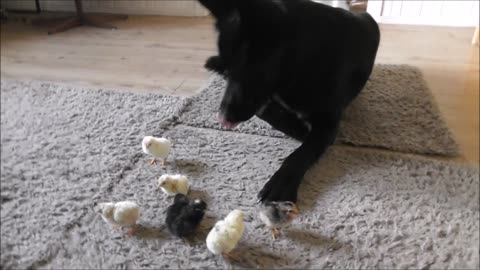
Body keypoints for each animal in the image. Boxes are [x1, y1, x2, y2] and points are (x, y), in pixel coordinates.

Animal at [198, 0, 378, 202]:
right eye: (230, 73)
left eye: (252, 72)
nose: (222, 119)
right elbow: (267, 111)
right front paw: (297, 127)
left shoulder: (328, 124)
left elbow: (303, 151)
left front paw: (282, 181)